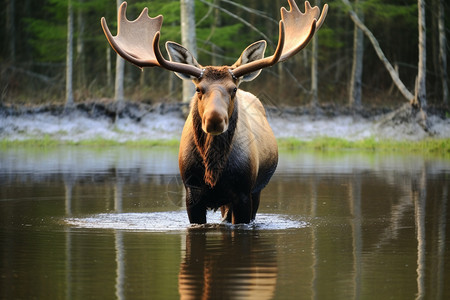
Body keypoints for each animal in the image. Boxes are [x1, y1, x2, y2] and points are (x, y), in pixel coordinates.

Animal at [101, 0, 326, 224]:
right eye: (199, 89)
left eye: (233, 89)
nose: (214, 120)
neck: (213, 171)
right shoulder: (192, 194)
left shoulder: (244, 193)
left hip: (256, 191)